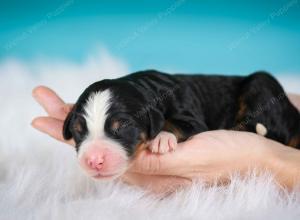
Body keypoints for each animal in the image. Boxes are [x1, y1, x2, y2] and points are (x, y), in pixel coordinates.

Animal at [62, 69, 298, 180]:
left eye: (122, 126)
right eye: (78, 131)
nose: (93, 160)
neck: (146, 88)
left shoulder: (194, 119)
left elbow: (173, 122)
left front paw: (161, 138)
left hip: (261, 83)